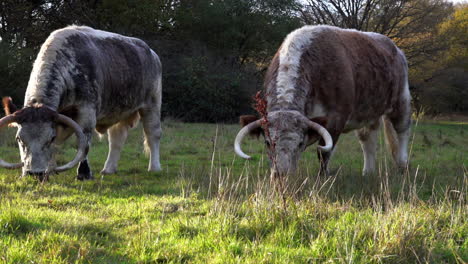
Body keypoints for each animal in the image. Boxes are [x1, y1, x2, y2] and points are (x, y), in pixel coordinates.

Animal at [0, 25, 163, 180]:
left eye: (49, 138)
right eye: (19, 139)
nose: (34, 173)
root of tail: (151, 53)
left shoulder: (87, 111)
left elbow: (84, 142)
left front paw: (83, 173)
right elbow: (58, 145)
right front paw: (49, 171)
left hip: (152, 104)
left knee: (153, 133)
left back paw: (154, 167)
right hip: (118, 111)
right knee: (117, 138)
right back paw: (109, 169)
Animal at [234, 25, 410, 177]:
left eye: (300, 143)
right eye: (267, 142)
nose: (281, 174)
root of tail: (395, 48)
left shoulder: (336, 118)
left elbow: (323, 151)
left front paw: (323, 177)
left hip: (401, 101)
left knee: (402, 130)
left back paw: (402, 164)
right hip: (368, 111)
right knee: (368, 140)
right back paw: (368, 172)